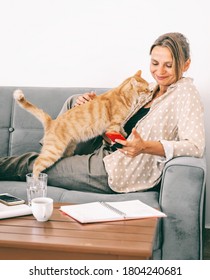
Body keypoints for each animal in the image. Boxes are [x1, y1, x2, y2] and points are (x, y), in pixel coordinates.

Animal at [13, 71, 148, 178]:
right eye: (146, 89)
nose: (151, 90)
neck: (123, 95)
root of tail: (52, 121)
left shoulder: (118, 124)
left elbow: (121, 130)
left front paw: (124, 134)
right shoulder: (113, 125)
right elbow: (116, 133)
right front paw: (121, 140)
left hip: (68, 149)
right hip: (53, 151)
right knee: (36, 164)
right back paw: (36, 185)